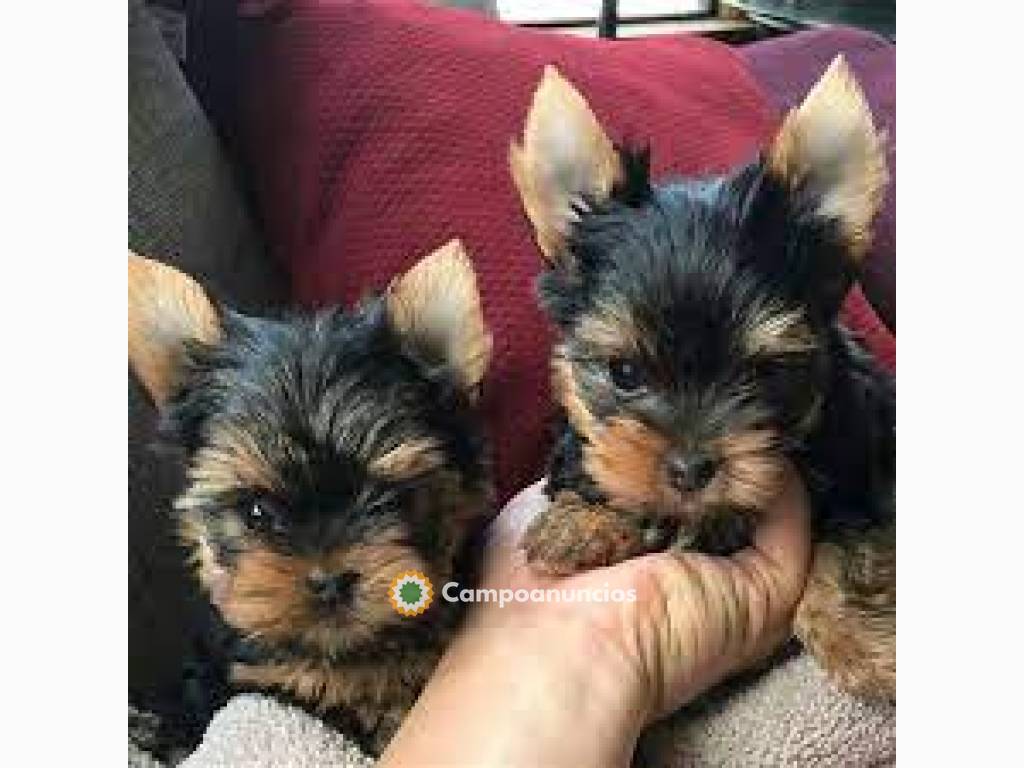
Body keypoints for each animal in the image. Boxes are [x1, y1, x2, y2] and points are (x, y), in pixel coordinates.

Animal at [512, 60, 897, 704]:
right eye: (624, 373)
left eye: (763, 373)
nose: (690, 470)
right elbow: (595, 468)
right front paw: (580, 524)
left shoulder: (865, 462)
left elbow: (850, 547)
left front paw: (858, 642)